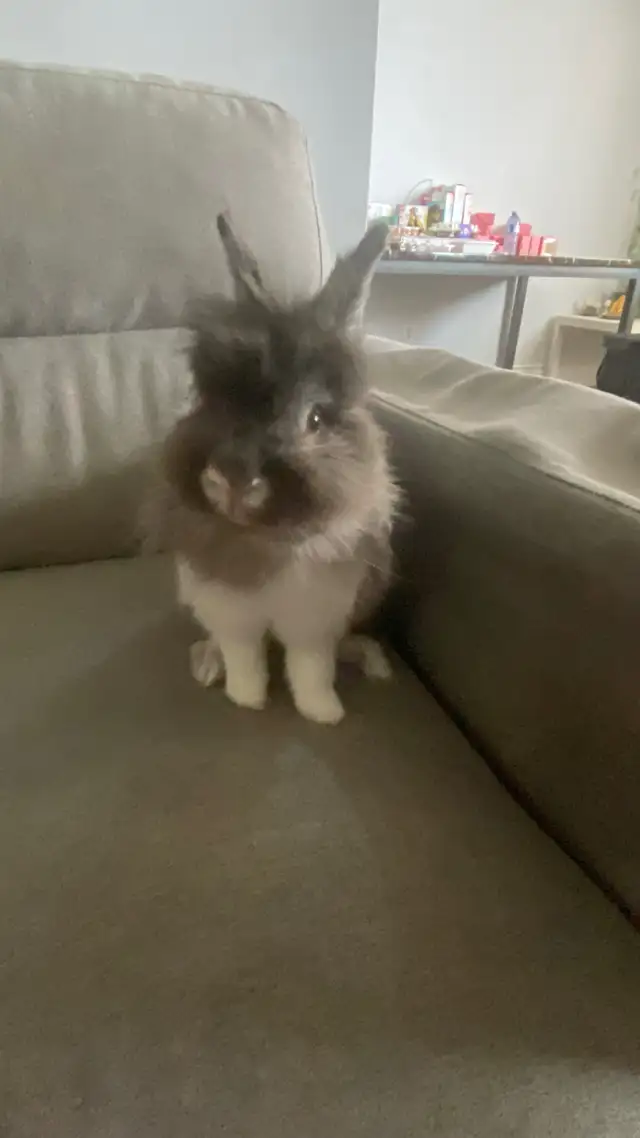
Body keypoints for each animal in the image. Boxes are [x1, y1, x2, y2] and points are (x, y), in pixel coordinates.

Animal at [154, 213, 398, 724]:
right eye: (215, 402)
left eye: (317, 419)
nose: (232, 478)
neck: (265, 536)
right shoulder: (230, 609)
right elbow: (242, 655)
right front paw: (247, 699)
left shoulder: (315, 615)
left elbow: (311, 666)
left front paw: (324, 713)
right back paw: (206, 664)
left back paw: (370, 659)